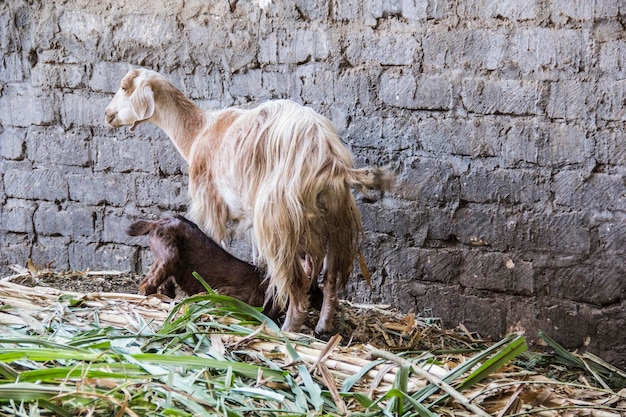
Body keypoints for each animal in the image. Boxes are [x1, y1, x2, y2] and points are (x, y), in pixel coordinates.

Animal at [105, 67, 392, 334]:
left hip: (278, 220)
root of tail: (327, 157)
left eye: (124, 87)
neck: (199, 131)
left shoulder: (209, 203)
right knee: (330, 278)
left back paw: (287, 330)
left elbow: (212, 242)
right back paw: (323, 327)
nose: (107, 115)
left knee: (297, 283)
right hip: (336, 221)